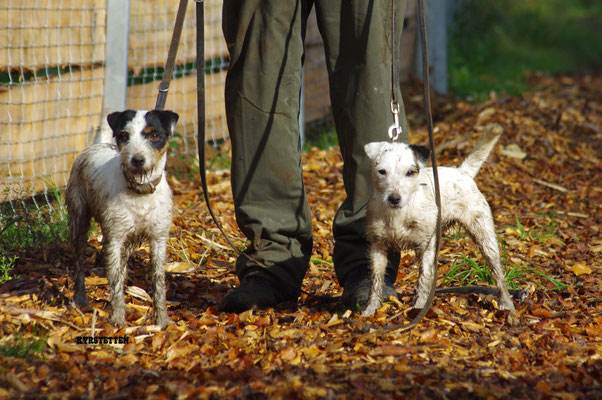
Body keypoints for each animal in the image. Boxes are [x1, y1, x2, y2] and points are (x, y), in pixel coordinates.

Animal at [67, 109, 178, 328]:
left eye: (154, 136)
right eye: (124, 136)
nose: (137, 160)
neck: (140, 192)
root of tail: (98, 145)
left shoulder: (158, 240)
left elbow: (158, 282)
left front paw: (162, 319)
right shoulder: (114, 240)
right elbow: (114, 279)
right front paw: (118, 317)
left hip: (130, 242)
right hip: (79, 223)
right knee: (80, 264)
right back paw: (81, 297)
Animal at [358, 125, 512, 318]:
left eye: (410, 172)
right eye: (382, 171)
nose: (394, 198)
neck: (399, 213)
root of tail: (462, 172)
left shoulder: (426, 246)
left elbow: (423, 278)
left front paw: (419, 306)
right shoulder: (378, 247)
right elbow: (376, 282)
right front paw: (370, 309)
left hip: (484, 237)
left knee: (498, 274)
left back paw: (506, 303)